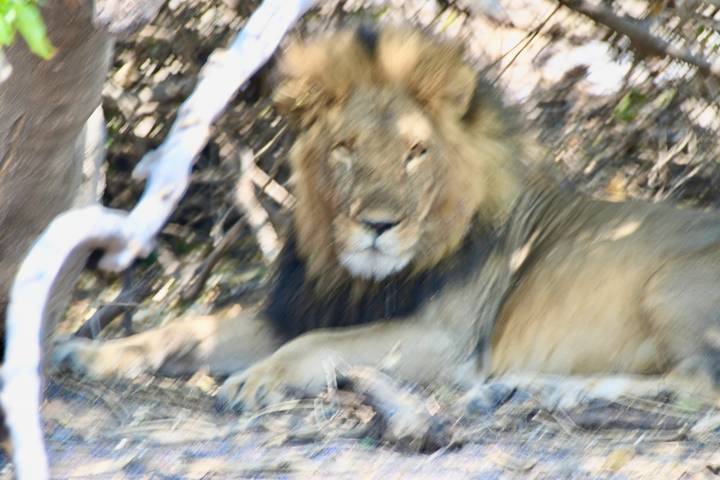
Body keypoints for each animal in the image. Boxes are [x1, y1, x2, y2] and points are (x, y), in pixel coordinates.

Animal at [54, 26, 720, 416]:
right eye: (345, 148)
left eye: (416, 152)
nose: (377, 226)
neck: (357, 277)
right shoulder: (298, 310)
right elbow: (187, 328)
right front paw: (87, 353)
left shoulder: (446, 341)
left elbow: (315, 346)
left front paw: (255, 380)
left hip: (667, 285)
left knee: (697, 385)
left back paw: (552, 390)